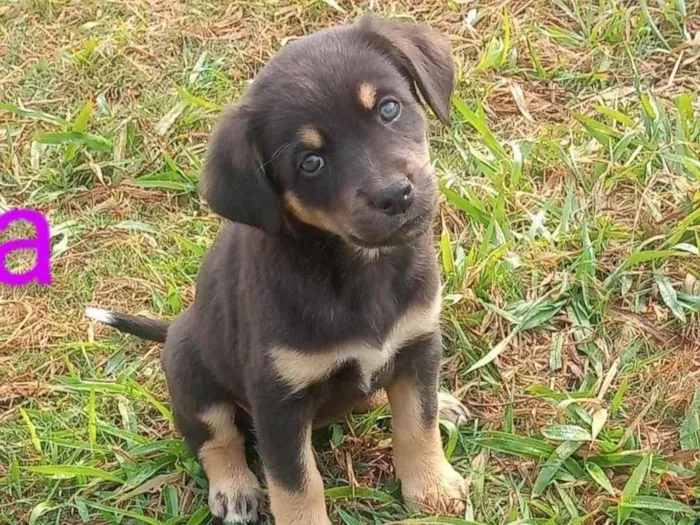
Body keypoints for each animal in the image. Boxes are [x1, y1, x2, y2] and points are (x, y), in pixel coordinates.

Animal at [87, 15, 470, 524]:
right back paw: (234, 489)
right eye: (310, 162)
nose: (395, 195)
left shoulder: (419, 340)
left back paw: (442, 403)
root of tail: (172, 329)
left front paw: (432, 487)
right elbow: (295, 482)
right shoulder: (277, 401)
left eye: (389, 108)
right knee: (216, 439)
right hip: (191, 373)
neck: (358, 270)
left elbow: (416, 422)